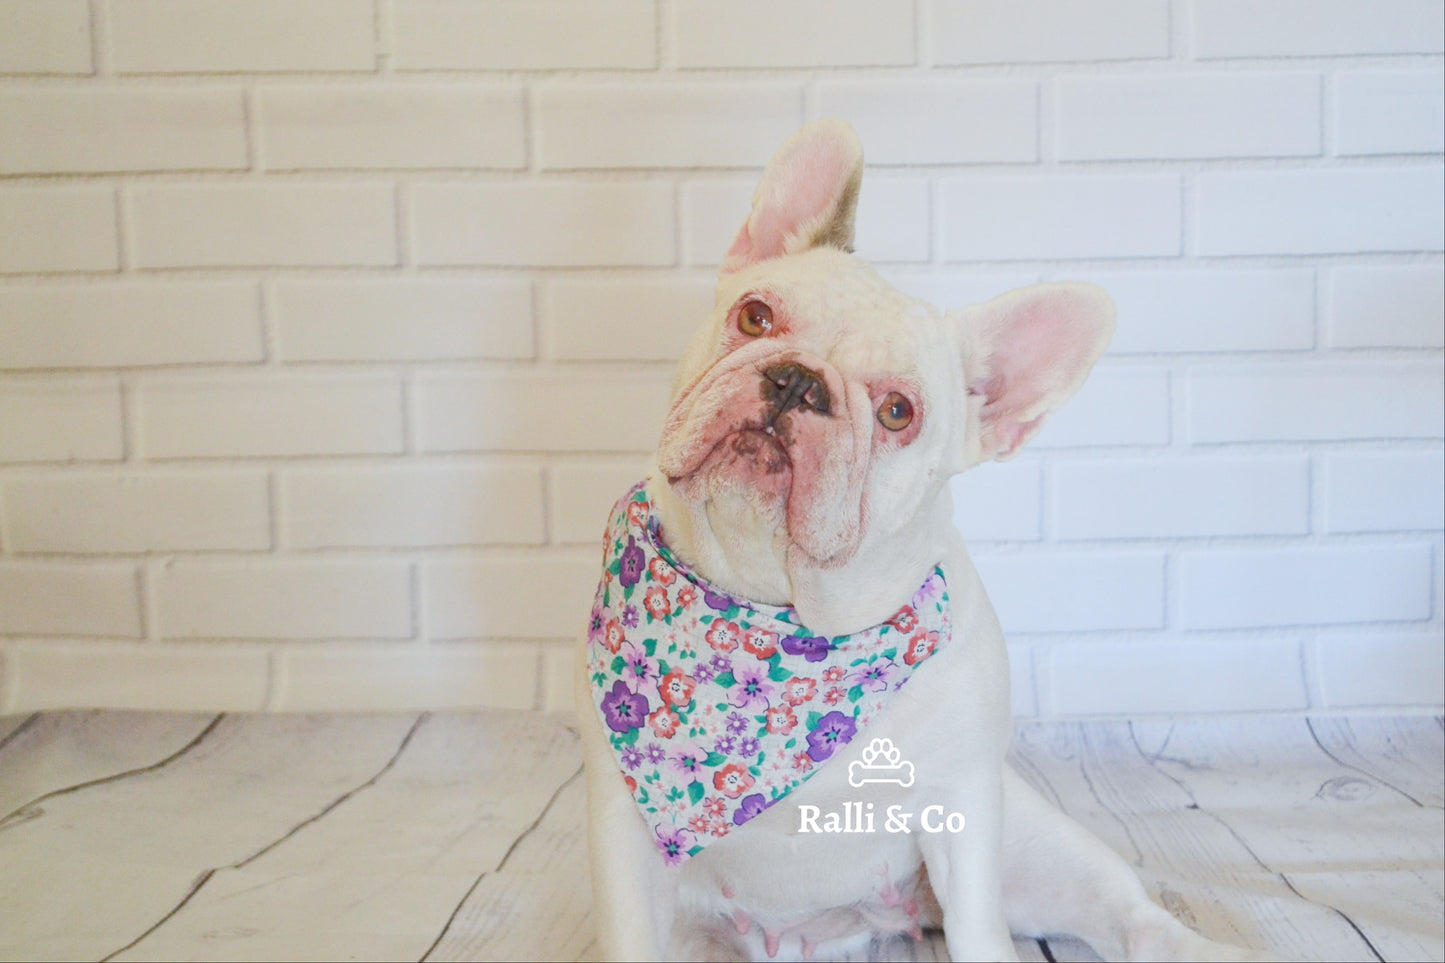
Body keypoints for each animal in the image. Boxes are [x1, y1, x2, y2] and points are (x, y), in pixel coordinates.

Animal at [575, 120, 1265, 960]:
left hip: (1040, 851)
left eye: (899, 412)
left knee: (1132, 917)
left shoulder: (963, 808)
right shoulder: (620, 827)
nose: (797, 381)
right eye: (755, 316)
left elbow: (978, 931)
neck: (781, 620)